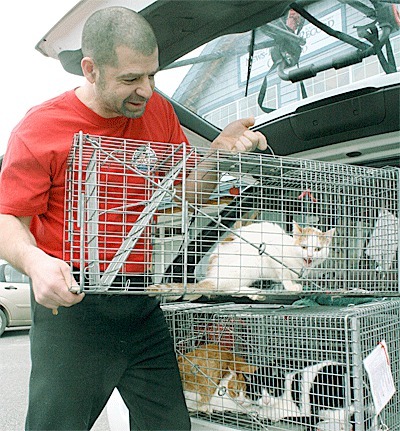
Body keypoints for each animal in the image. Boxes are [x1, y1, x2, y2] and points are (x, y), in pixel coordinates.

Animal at [148, 221, 334, 298]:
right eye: (303, 247)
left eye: (318, 249)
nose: (310, 256)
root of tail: (211, 277)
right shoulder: (272, 253)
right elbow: (284, 275)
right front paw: (290, 286)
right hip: (248, 265)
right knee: (226, 289)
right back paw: (253, 292)